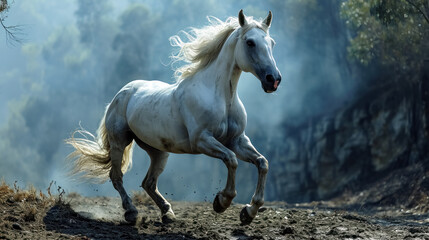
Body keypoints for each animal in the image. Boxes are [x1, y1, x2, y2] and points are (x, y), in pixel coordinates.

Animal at [67, 9, 280, 225]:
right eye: (250, 42)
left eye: (272, 43)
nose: (273, 80)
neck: (221, 98)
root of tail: (122, 92)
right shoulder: (202, 140)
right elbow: (231, 159)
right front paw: (222, 201)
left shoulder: (237, 140)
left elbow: (262, 162)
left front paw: (249, 212)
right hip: (120, 141)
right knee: (117, 177)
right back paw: (131, 212)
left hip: (158, 151)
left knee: (148, 183)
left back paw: (167, 212)